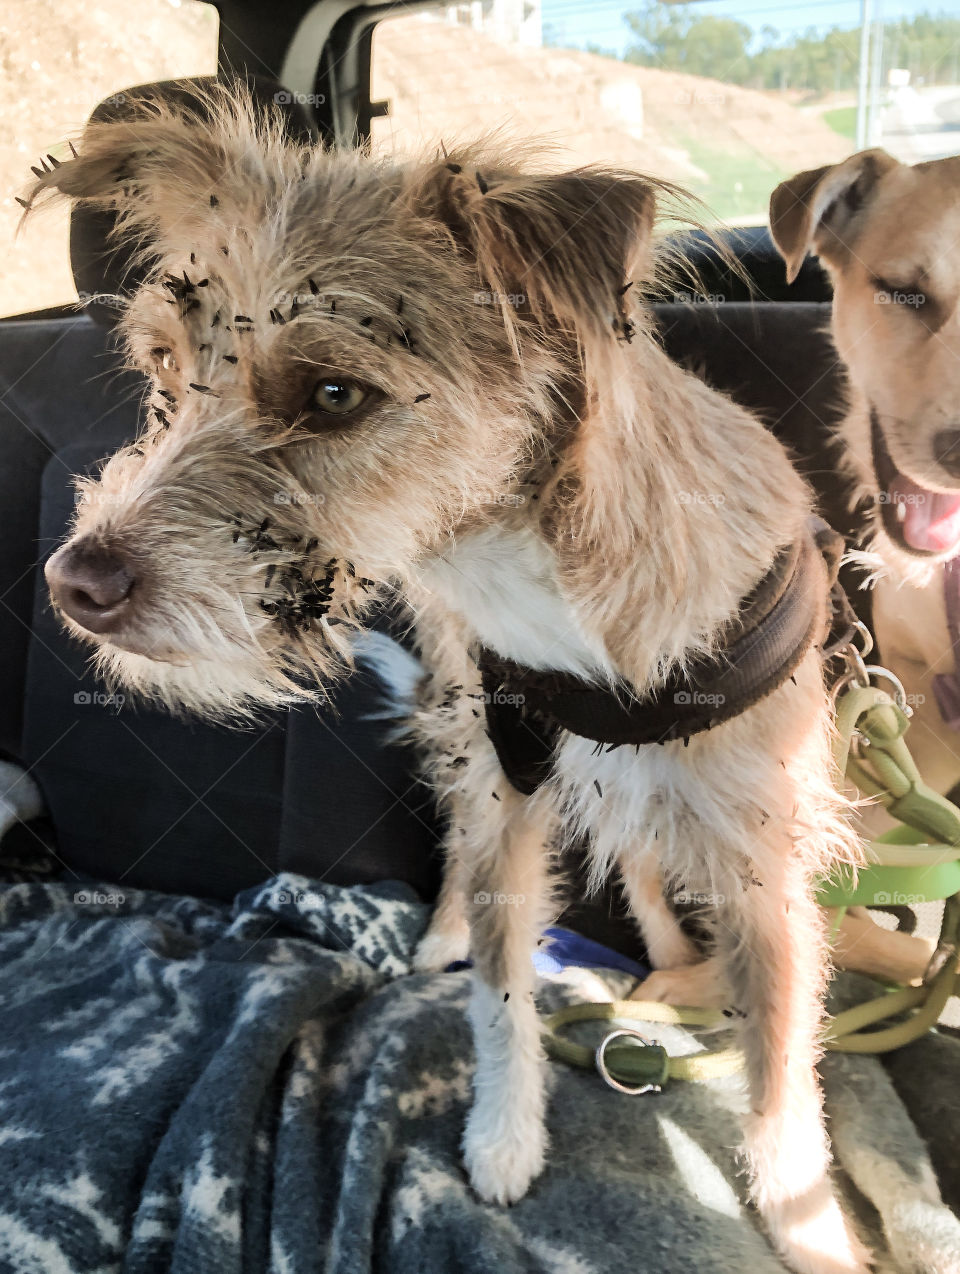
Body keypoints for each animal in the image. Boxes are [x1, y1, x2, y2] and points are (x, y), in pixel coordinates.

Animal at [29, 84, 865, 1268]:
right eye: (162, 373)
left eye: (334, 392)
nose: (73, 584)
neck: (541, 584)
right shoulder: (506, 790)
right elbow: (502, 994)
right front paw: (503, 1137)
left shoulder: (768, 865)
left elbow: (783, 1073)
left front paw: (808, 1226)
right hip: (470, 744)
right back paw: (453, 937)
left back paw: (667, 963)